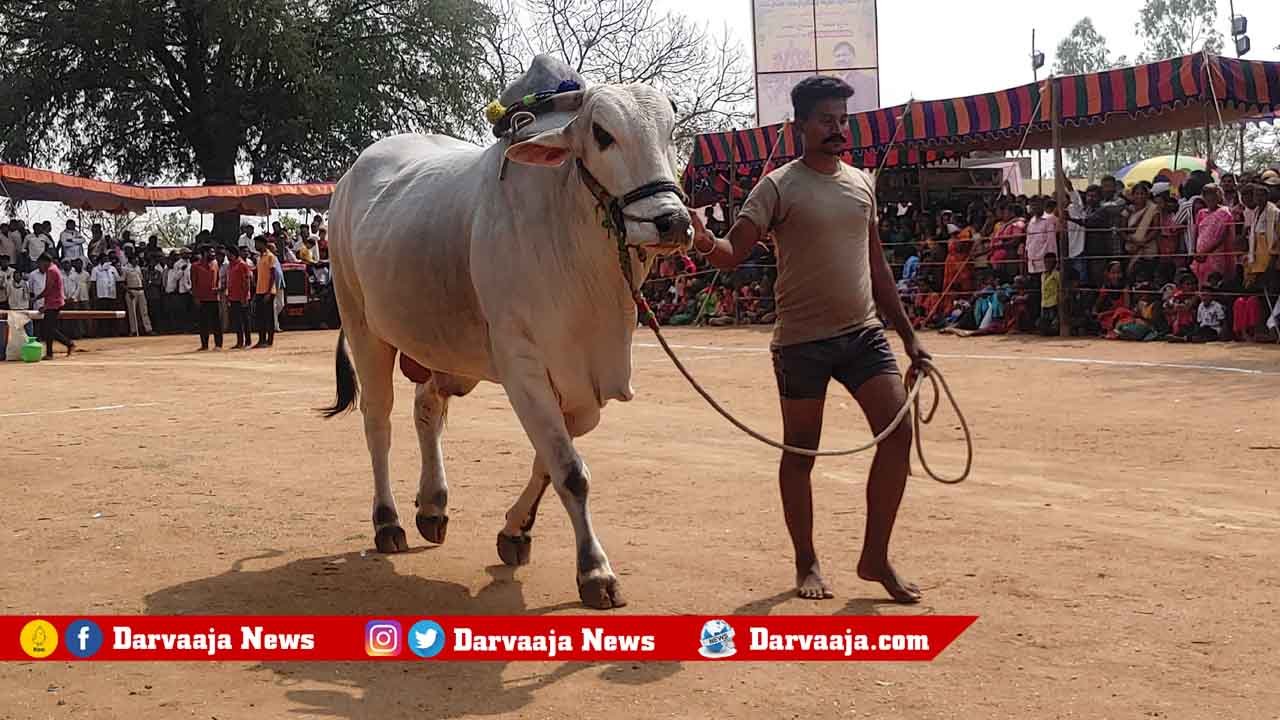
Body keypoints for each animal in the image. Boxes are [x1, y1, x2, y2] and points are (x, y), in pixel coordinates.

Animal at [325, 78, 696, 604]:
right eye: (602, 133)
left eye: (670, 132)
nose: (672, 222)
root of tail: (350, 177)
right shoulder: (523, 366)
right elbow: (571, 472)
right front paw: (595, 570)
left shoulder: (582, 390)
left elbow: (549, 462)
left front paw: (515, 531)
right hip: (362, 323)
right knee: (378, 421)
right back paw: (388, 521)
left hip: (444, 352)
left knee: (426, 409)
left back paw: (432, 506)